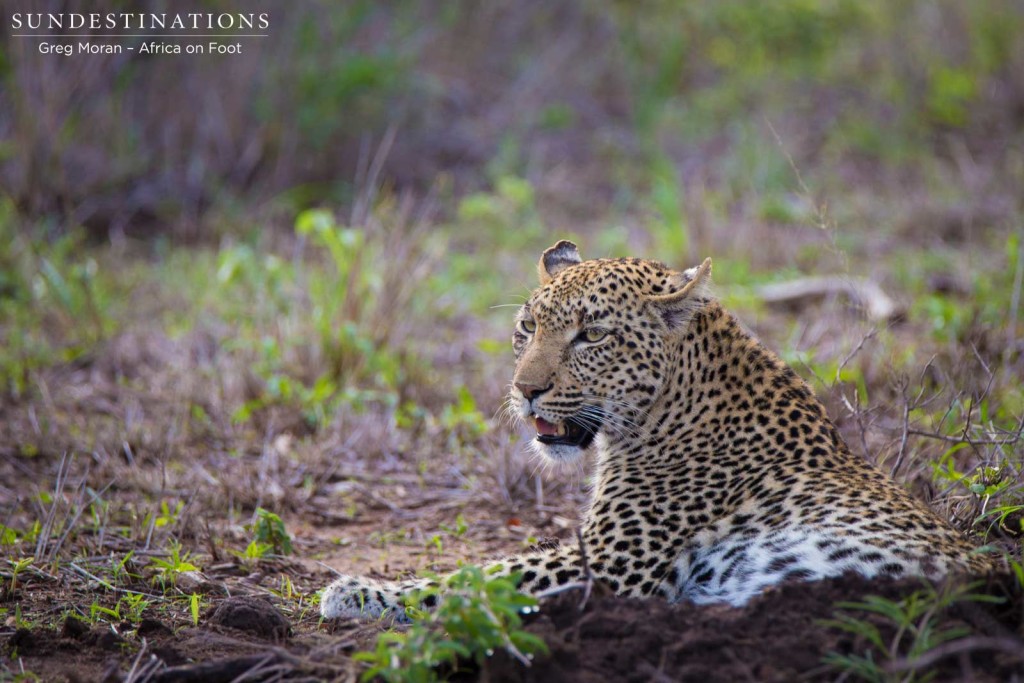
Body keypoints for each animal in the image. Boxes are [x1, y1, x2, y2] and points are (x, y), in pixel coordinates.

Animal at [319, 242, 991, 622]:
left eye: (592, 335)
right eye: (527, 327)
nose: (524, 390)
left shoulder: (611, 565)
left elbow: (478, 577)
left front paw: (356, 592)